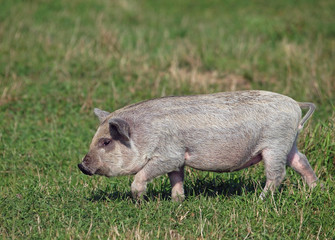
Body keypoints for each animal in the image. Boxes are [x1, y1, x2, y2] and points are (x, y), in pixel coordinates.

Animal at [77, 91, 318, 202]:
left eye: (106, 141)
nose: (81, 165)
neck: (145, 134)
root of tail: (294, 103)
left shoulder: (169, 155)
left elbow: (142, 175)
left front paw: (139, 200)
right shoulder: (178, 159)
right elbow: (176, 178)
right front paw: (177, 201)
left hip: (275, 144)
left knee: (277, 174)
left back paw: (259, 199)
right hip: (290, 143)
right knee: (302, 161)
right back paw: (317, 189)